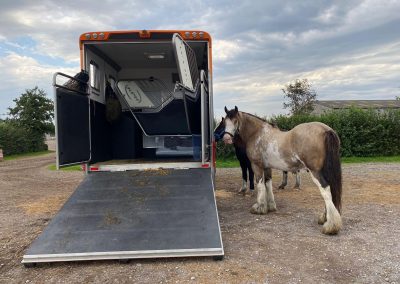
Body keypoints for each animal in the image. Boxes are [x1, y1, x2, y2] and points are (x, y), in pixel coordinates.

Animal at [220, 106, 342, 235]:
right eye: (225, 122)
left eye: (235, 121)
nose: (226, 139)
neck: (258, 134)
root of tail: (326, 130)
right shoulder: (267, 167)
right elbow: (268, 184)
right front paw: (270, 207)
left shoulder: (257, 166)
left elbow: (260, 185)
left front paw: (259, 208)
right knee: (330, 189)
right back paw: (324, 218)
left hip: (315, 171)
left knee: (325, 189)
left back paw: (330, 226)